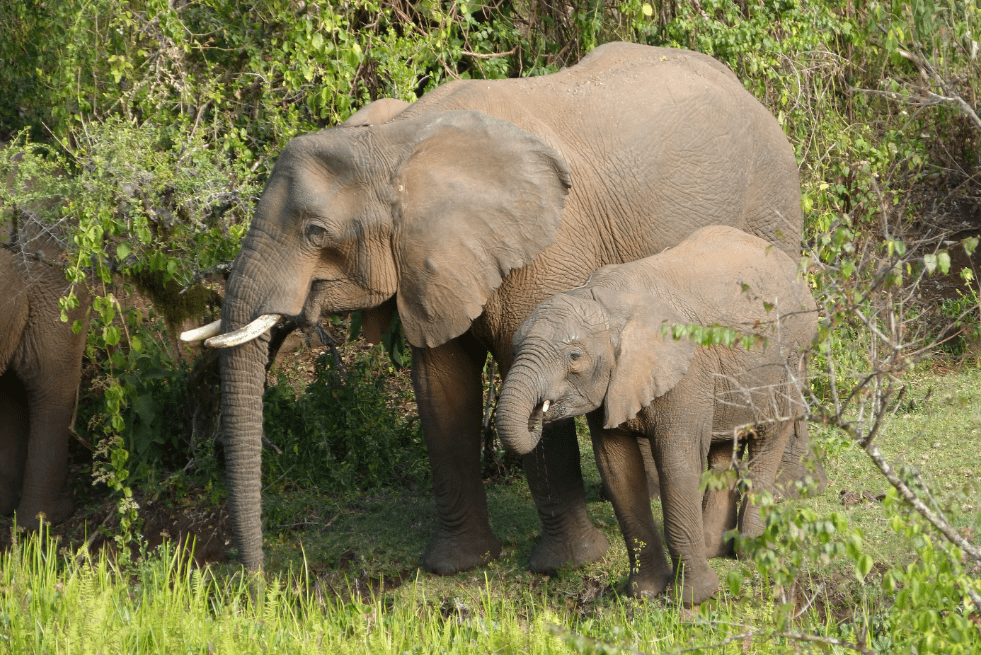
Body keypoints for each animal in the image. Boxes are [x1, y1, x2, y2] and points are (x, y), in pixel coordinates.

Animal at [183, 42, 811, 574]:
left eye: (316, 231)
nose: (255, 584)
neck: (396, 142)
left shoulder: (548, 248)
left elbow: (518, 367)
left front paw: (566, 565)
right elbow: (441, 386)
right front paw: (456, 565)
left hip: (773, 207)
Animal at [496, 226, 819, 605]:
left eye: (574, 356)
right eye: (514, 348)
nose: (538, 413)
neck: (608, 303)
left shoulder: (686, 374)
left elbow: (677, 465)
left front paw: (693, 598)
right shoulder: (614, 386)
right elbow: (618, 470)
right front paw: (644, 593)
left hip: (789, 357)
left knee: (767, 440)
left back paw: (750, 551)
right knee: (721, 448)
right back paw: (714, 549)